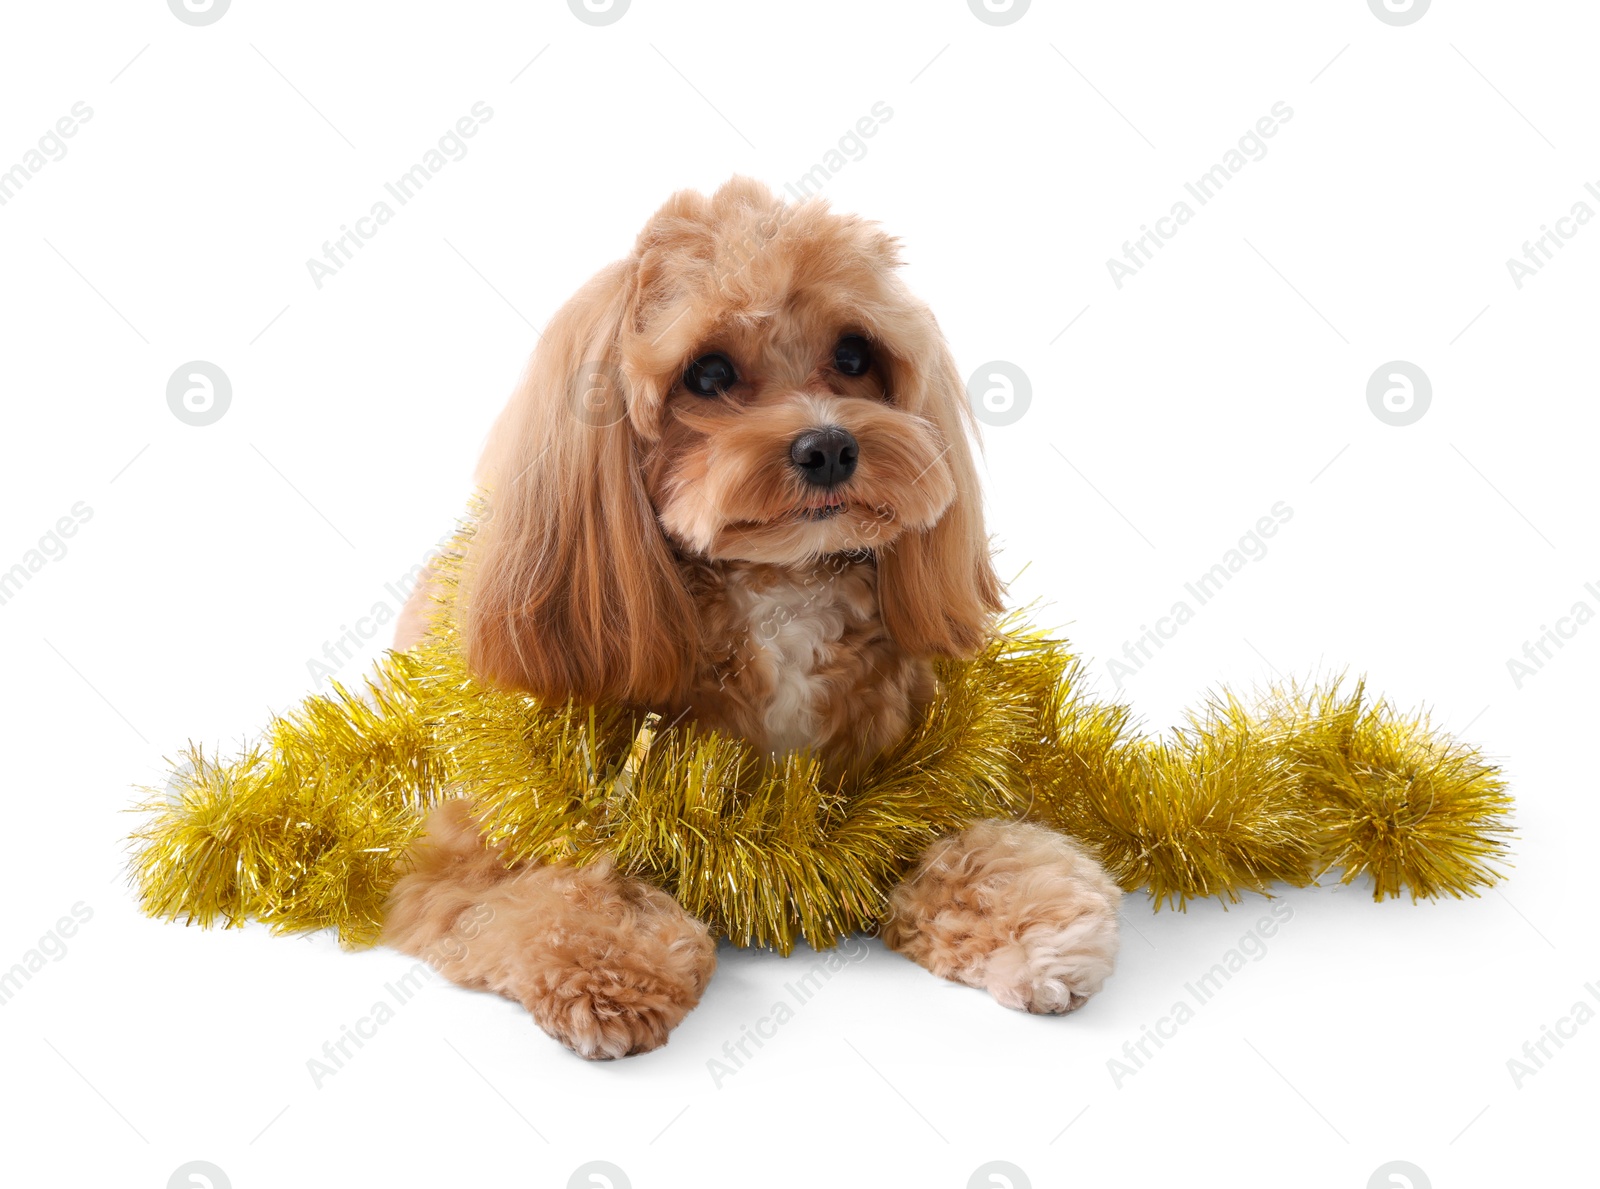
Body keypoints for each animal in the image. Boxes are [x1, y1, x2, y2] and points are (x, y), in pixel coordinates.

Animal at [380, 176, 1120, 1062]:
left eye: (854, 354)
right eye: (707, 372)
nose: (828, 447)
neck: (781, 589)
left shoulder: (907, 785)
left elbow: (974, 845)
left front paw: (1035, 925)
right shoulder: (464, 856)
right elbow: (561, 886)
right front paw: (609, 962)